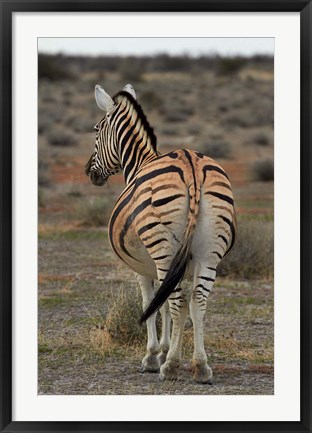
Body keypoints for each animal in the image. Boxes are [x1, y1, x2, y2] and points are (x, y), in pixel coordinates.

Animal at [85, 82, 236, 382]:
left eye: (96, 130)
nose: (89, 172)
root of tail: (192, 166)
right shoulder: (172, 265)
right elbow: (165, 304)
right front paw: (166, 350)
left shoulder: (143, 267)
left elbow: (152, 303)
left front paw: (154, 356)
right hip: (208, 253)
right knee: (197, 301)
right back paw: (201, 367)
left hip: (164, 249)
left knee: (178, 301)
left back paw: (172, 366)